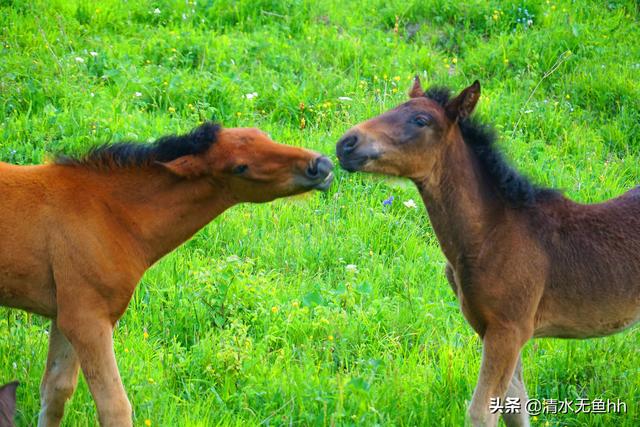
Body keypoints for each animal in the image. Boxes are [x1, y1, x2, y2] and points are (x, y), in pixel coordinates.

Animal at [336, 78, 640, 426]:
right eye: (395, 107)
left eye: (420, 120)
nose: (346, 143)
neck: (486, 236)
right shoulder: (490, 328)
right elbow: (514, 404)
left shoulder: (510, 329)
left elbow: (483, 411)